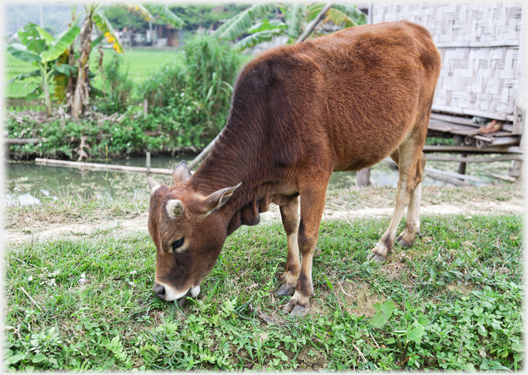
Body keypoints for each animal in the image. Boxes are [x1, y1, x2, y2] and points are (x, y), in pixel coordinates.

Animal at [145, 21, 442, 318]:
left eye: (177, 242)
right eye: (153, 236)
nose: (160, 290)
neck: (268, 121)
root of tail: (418, 29)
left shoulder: (316, 178)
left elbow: (306, 236)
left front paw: (302, 295)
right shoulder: (284, 188)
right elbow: (289, 227)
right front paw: (290, 277)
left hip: (417, 126)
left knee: (405, 184)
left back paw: (384, 246)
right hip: (394, 137)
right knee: (420, 168)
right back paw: (411, 233)